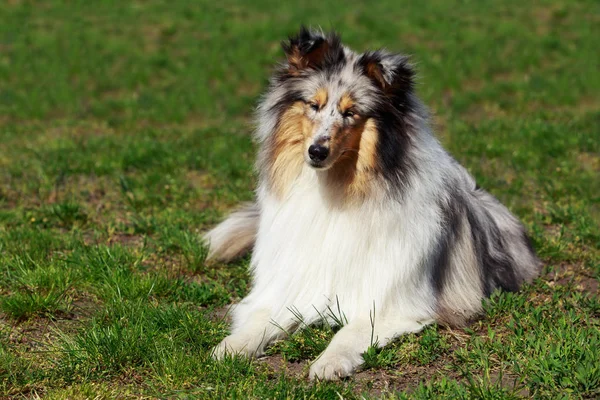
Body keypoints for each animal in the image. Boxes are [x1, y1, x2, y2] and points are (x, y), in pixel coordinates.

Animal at [204, 27, 540, 378]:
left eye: (351, 113)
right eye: (314, 105)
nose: (316, 152)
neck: (335, 190)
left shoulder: (393, 301)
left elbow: (349, 331)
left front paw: (328, 363)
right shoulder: (288, 286)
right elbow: (259, 320)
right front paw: (230, 347)